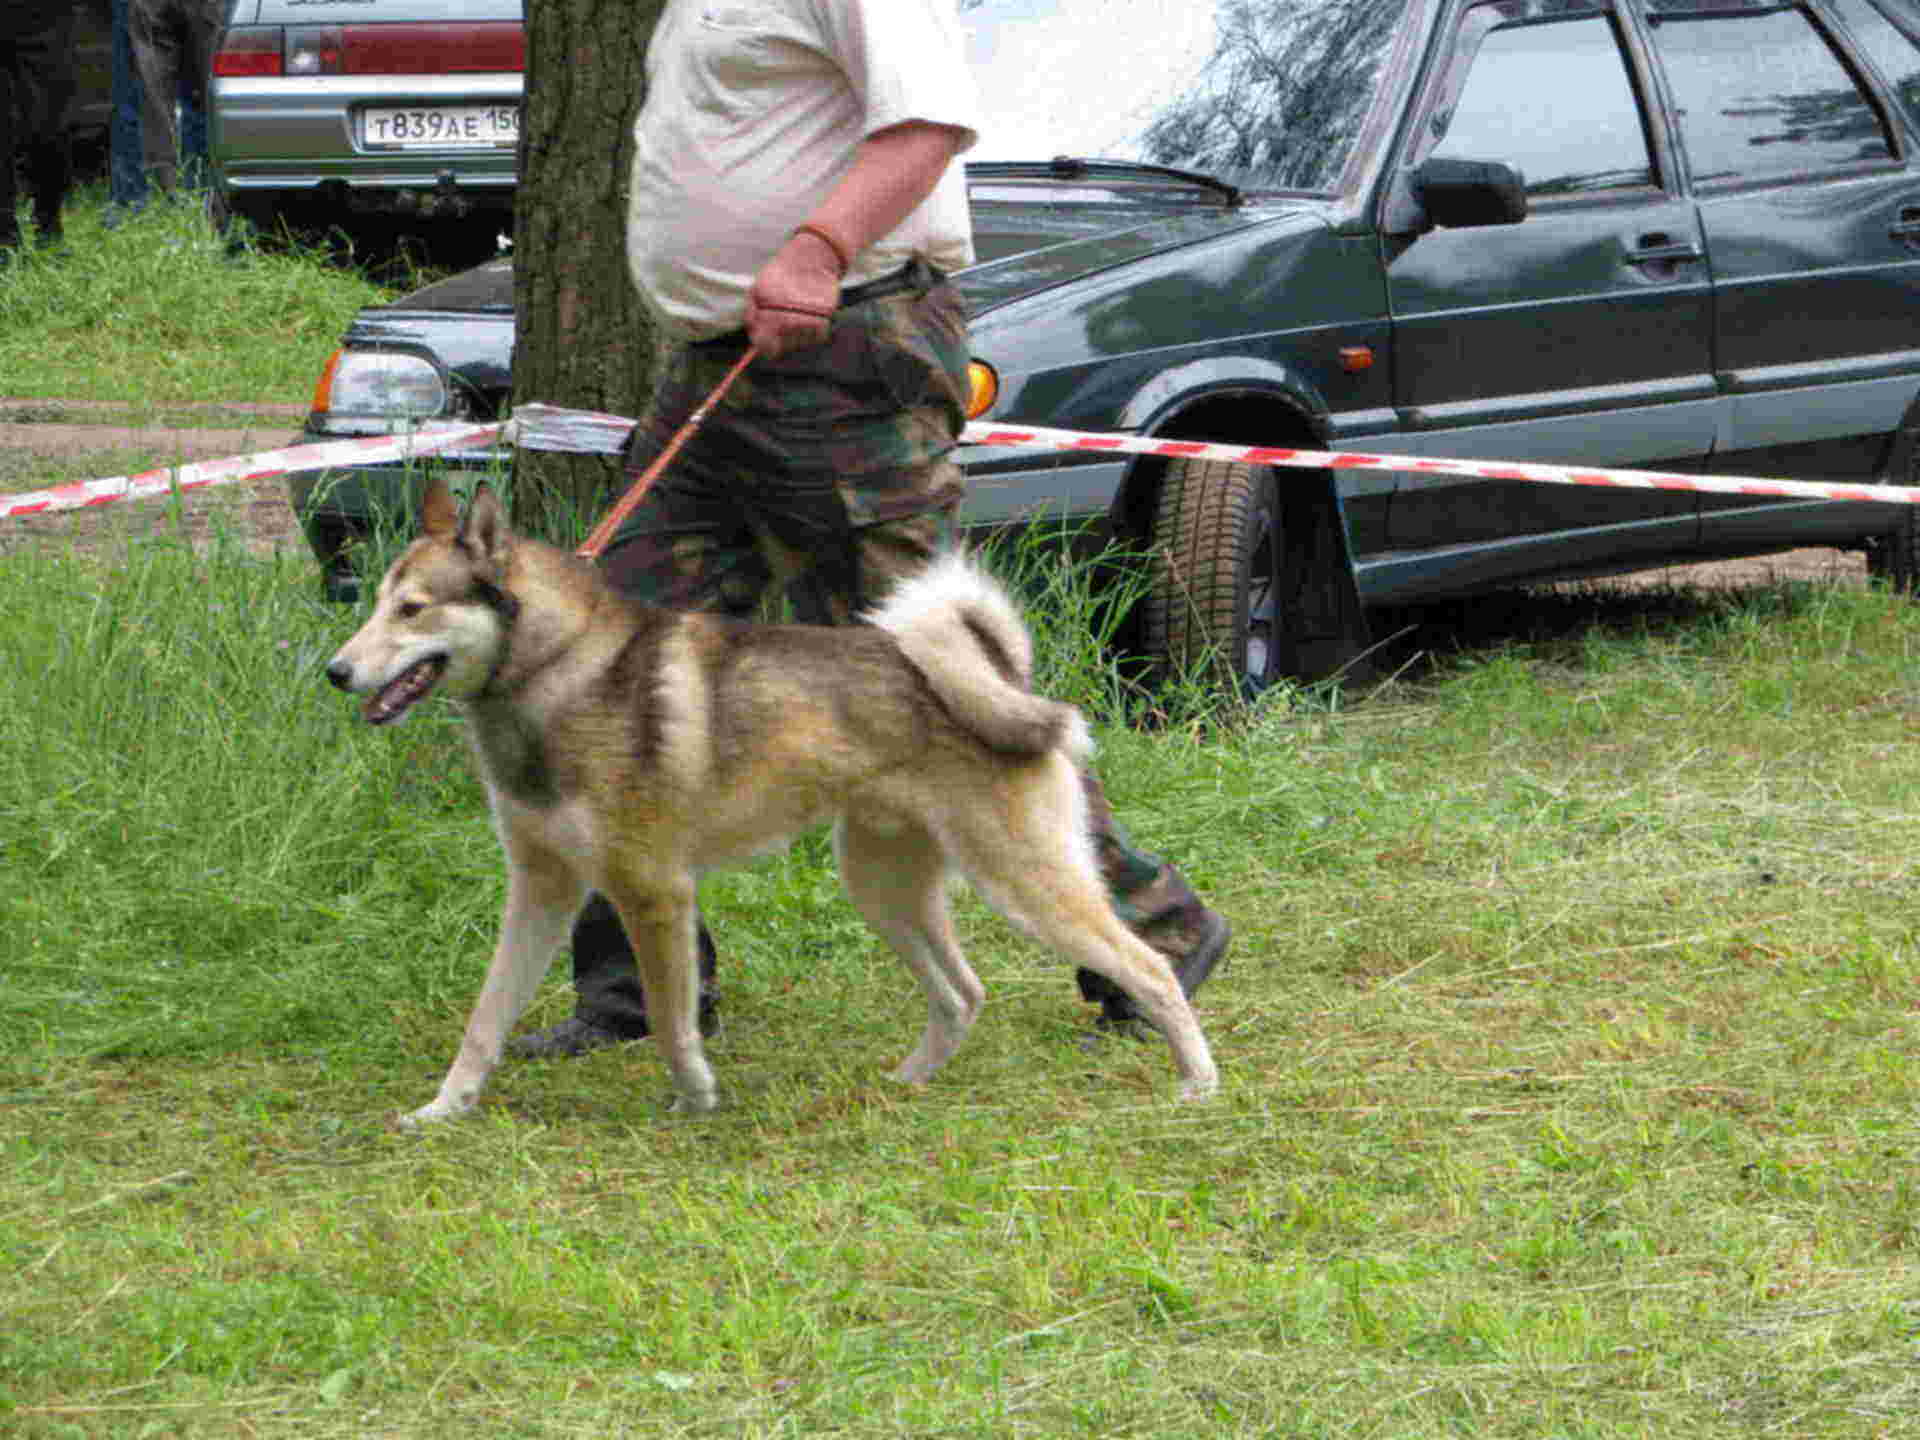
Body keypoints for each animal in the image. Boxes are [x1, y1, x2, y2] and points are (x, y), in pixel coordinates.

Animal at [320, 480, 1205, 1136]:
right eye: (377, 603)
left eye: (413, 609)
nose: (336, 672)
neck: (558, 672)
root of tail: (1001, 677)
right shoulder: (543, 891)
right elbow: (485, 1019)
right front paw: (443, 1108)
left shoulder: (654, 893)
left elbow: (671, 1019)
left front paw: (694, 1096)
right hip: (884, 890)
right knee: (964, 993)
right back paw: (906, 1082)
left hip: (1025, 886)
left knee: (1149, 969)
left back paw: (1198, 1084)